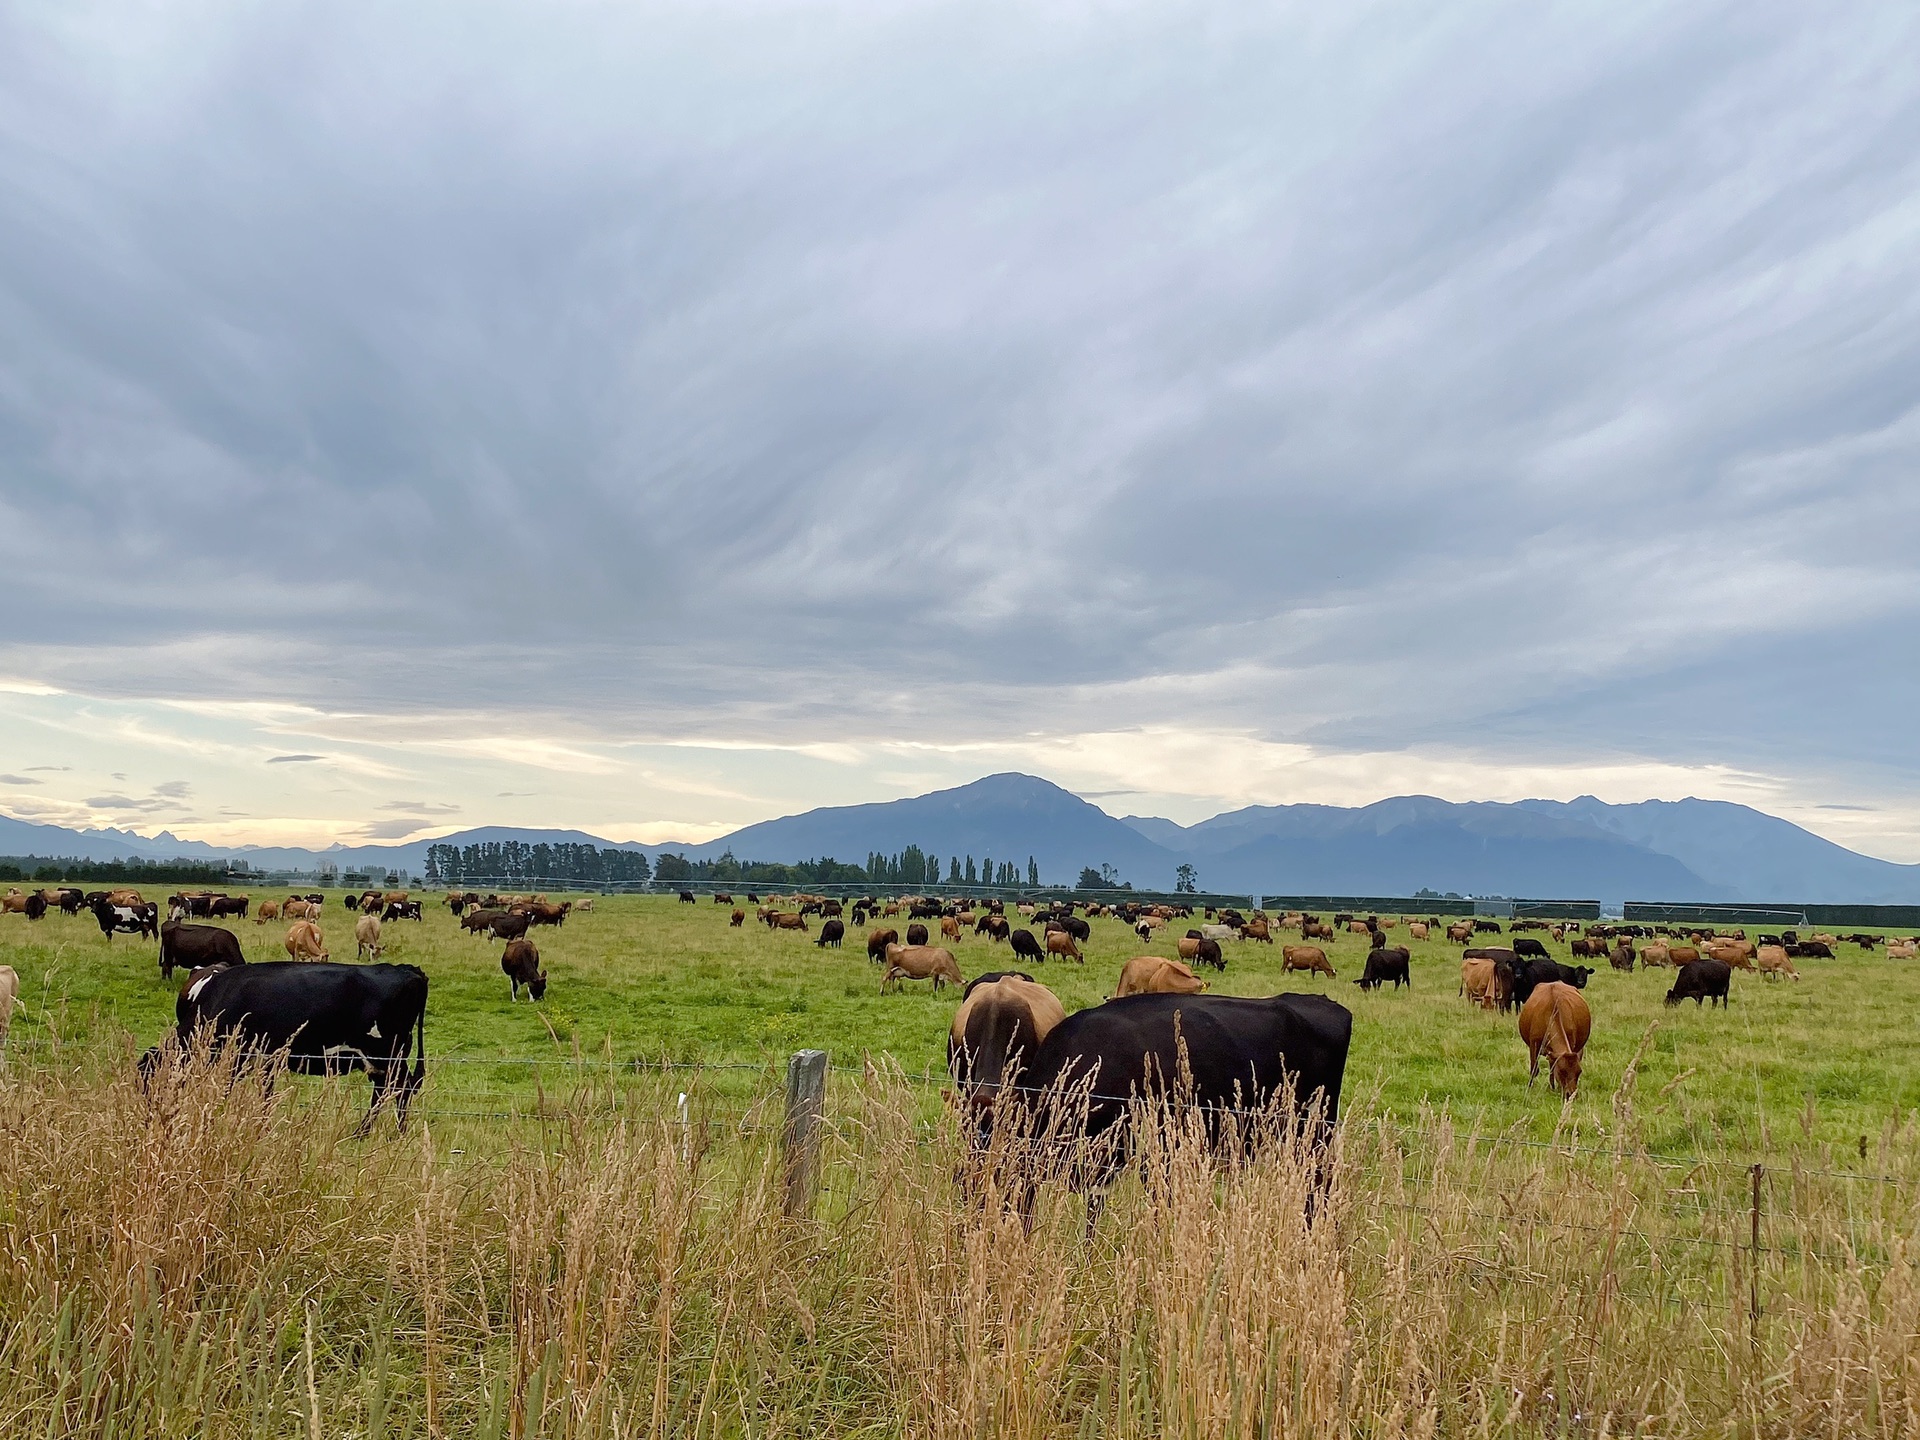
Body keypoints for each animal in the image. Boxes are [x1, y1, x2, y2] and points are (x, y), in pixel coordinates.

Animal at [141, 963, 428, 1136]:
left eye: (148, 1080)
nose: (149, 1120)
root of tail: (408, 970)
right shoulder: (263, 1060)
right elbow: (265, 1095)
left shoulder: (240, 1057)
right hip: (382, 1059)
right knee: (388, 1090)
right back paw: (366, 1133)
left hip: (386, 1053)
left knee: (400, 1088)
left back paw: (393, 1134)